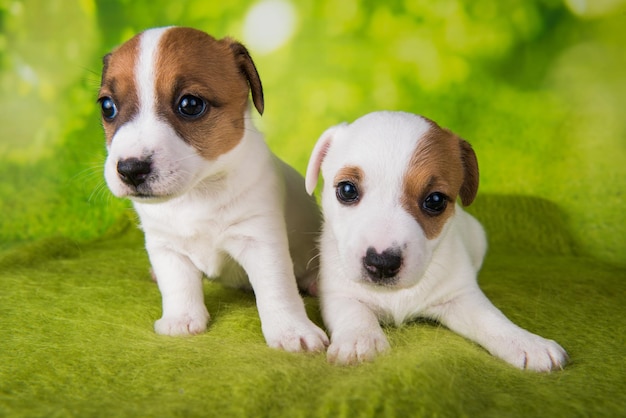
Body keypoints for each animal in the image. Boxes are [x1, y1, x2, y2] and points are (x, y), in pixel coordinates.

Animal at [97, 26, 326, 352]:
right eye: (107, 107)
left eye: (190, 105)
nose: (130, 169)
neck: (196, 193)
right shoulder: (165, 246)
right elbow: (177, 285)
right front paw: (180, 319)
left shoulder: (260, 240)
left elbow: (277, 289)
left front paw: (291, 331)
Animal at [304, 110, 568, 370]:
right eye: (347, 190)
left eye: (435, 200)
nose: (381, 263)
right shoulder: (338, 293)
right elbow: (354, 313)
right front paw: (360, 341)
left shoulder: (461, 297)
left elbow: (491, 319)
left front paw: (526, 342)